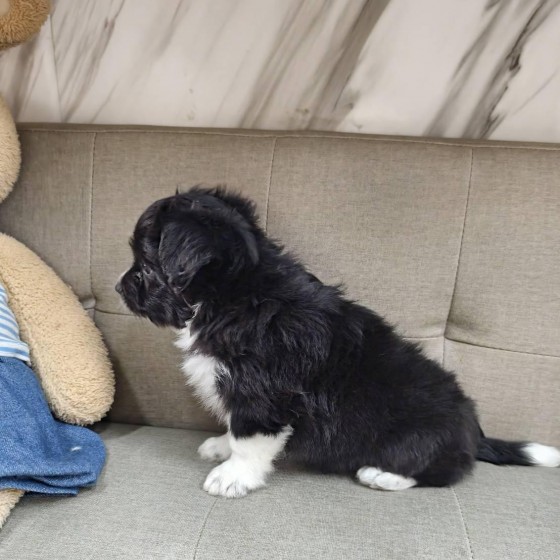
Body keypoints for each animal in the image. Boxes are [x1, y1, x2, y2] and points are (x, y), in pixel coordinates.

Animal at [116, 186, 560, 498]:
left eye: (145, 265)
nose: (119, 287)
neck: (234, 295)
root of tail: (474, 432)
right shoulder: (239, 391)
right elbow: (233, 425)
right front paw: (221, 447)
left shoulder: (263, 395)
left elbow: (249, 437)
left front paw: (234, 477)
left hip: (419, 440)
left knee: (444, 472)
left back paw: (383, 475)